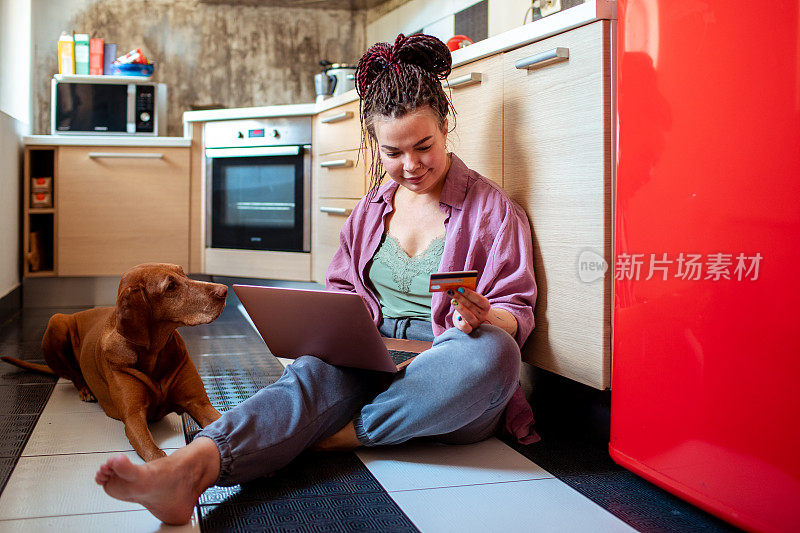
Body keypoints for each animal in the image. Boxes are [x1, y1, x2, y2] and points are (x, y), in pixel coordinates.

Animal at [1, 262, 225, 462]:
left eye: (183, 273)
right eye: (170, 286)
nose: (223, 290)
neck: (153, 351)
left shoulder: (199, 403)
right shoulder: (133, 418)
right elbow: (155, 455)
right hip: (56, 321)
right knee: (73, 374)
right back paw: (85, 389)